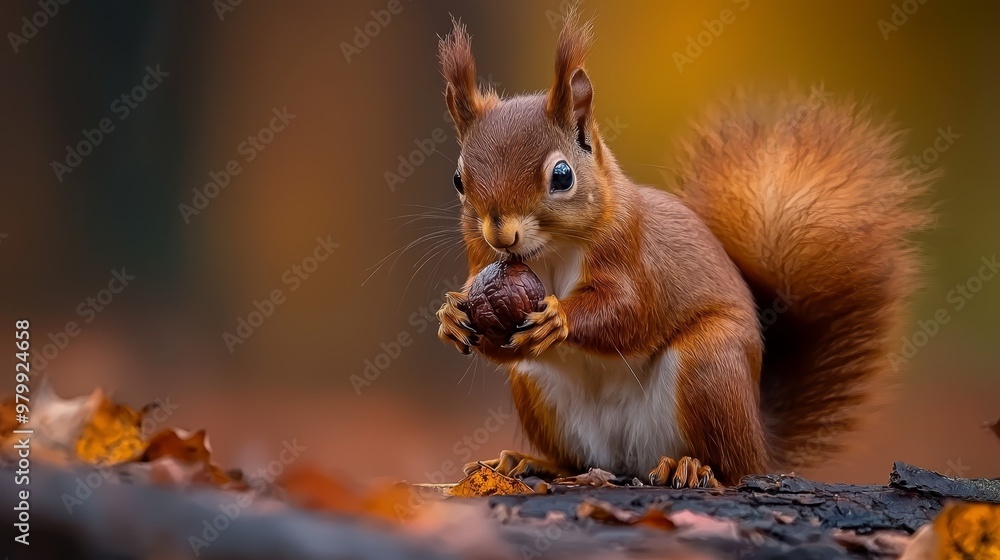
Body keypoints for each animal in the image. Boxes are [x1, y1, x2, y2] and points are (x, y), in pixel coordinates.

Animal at [434, 14, 934, 487]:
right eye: (458, 179)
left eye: (562, 176)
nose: (501, 234)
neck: (550, 251)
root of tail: (760, 439)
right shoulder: (482, 260)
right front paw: (453, 316)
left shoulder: (630, 249)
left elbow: (629, 310)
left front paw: (559, 317)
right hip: (537, 389)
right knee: (575, 459)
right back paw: (530, 461)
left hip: (709, 367)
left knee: (732, 467)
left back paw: (691, 466)